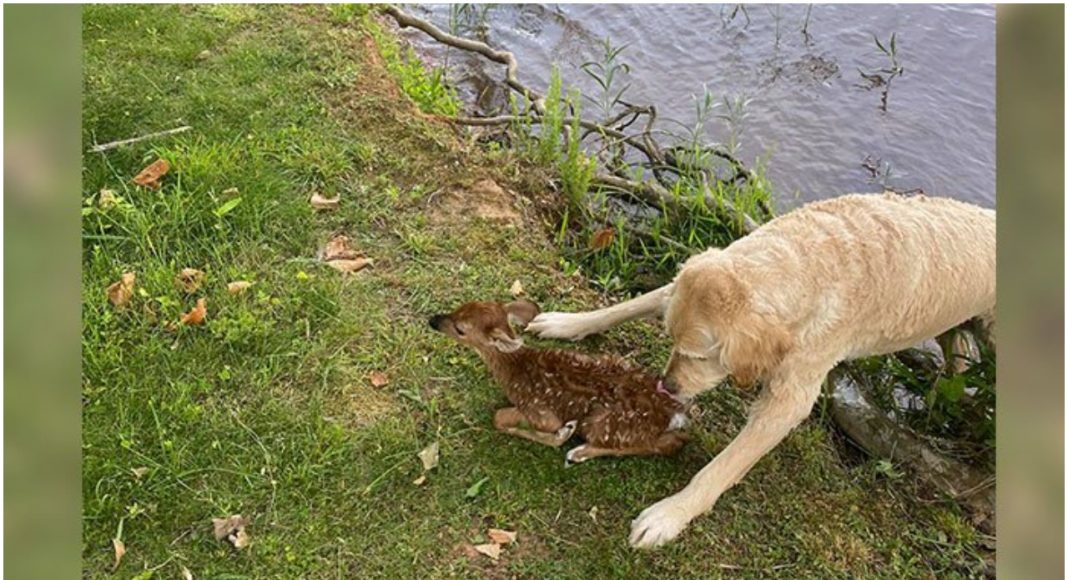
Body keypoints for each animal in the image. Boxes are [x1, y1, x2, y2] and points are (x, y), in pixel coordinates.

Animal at [525, 194, 991, 551]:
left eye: (700, 357)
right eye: (671, 340)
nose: (667, 385)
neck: (810, 260)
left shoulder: (789, 399)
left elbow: (723, 466)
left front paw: (669, 515)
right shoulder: (681, 284)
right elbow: (629, 304)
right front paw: (567, 322)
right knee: (958, 351)